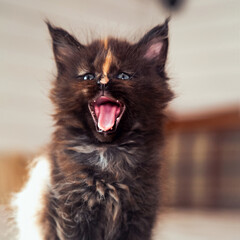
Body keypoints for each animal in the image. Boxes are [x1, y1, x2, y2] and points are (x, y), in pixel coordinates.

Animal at [13, 19, 172, 240]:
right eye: (87, 76)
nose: (102, 82)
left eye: (123, 75)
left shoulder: (140, 211)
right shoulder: (71, 211)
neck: (108, 153)